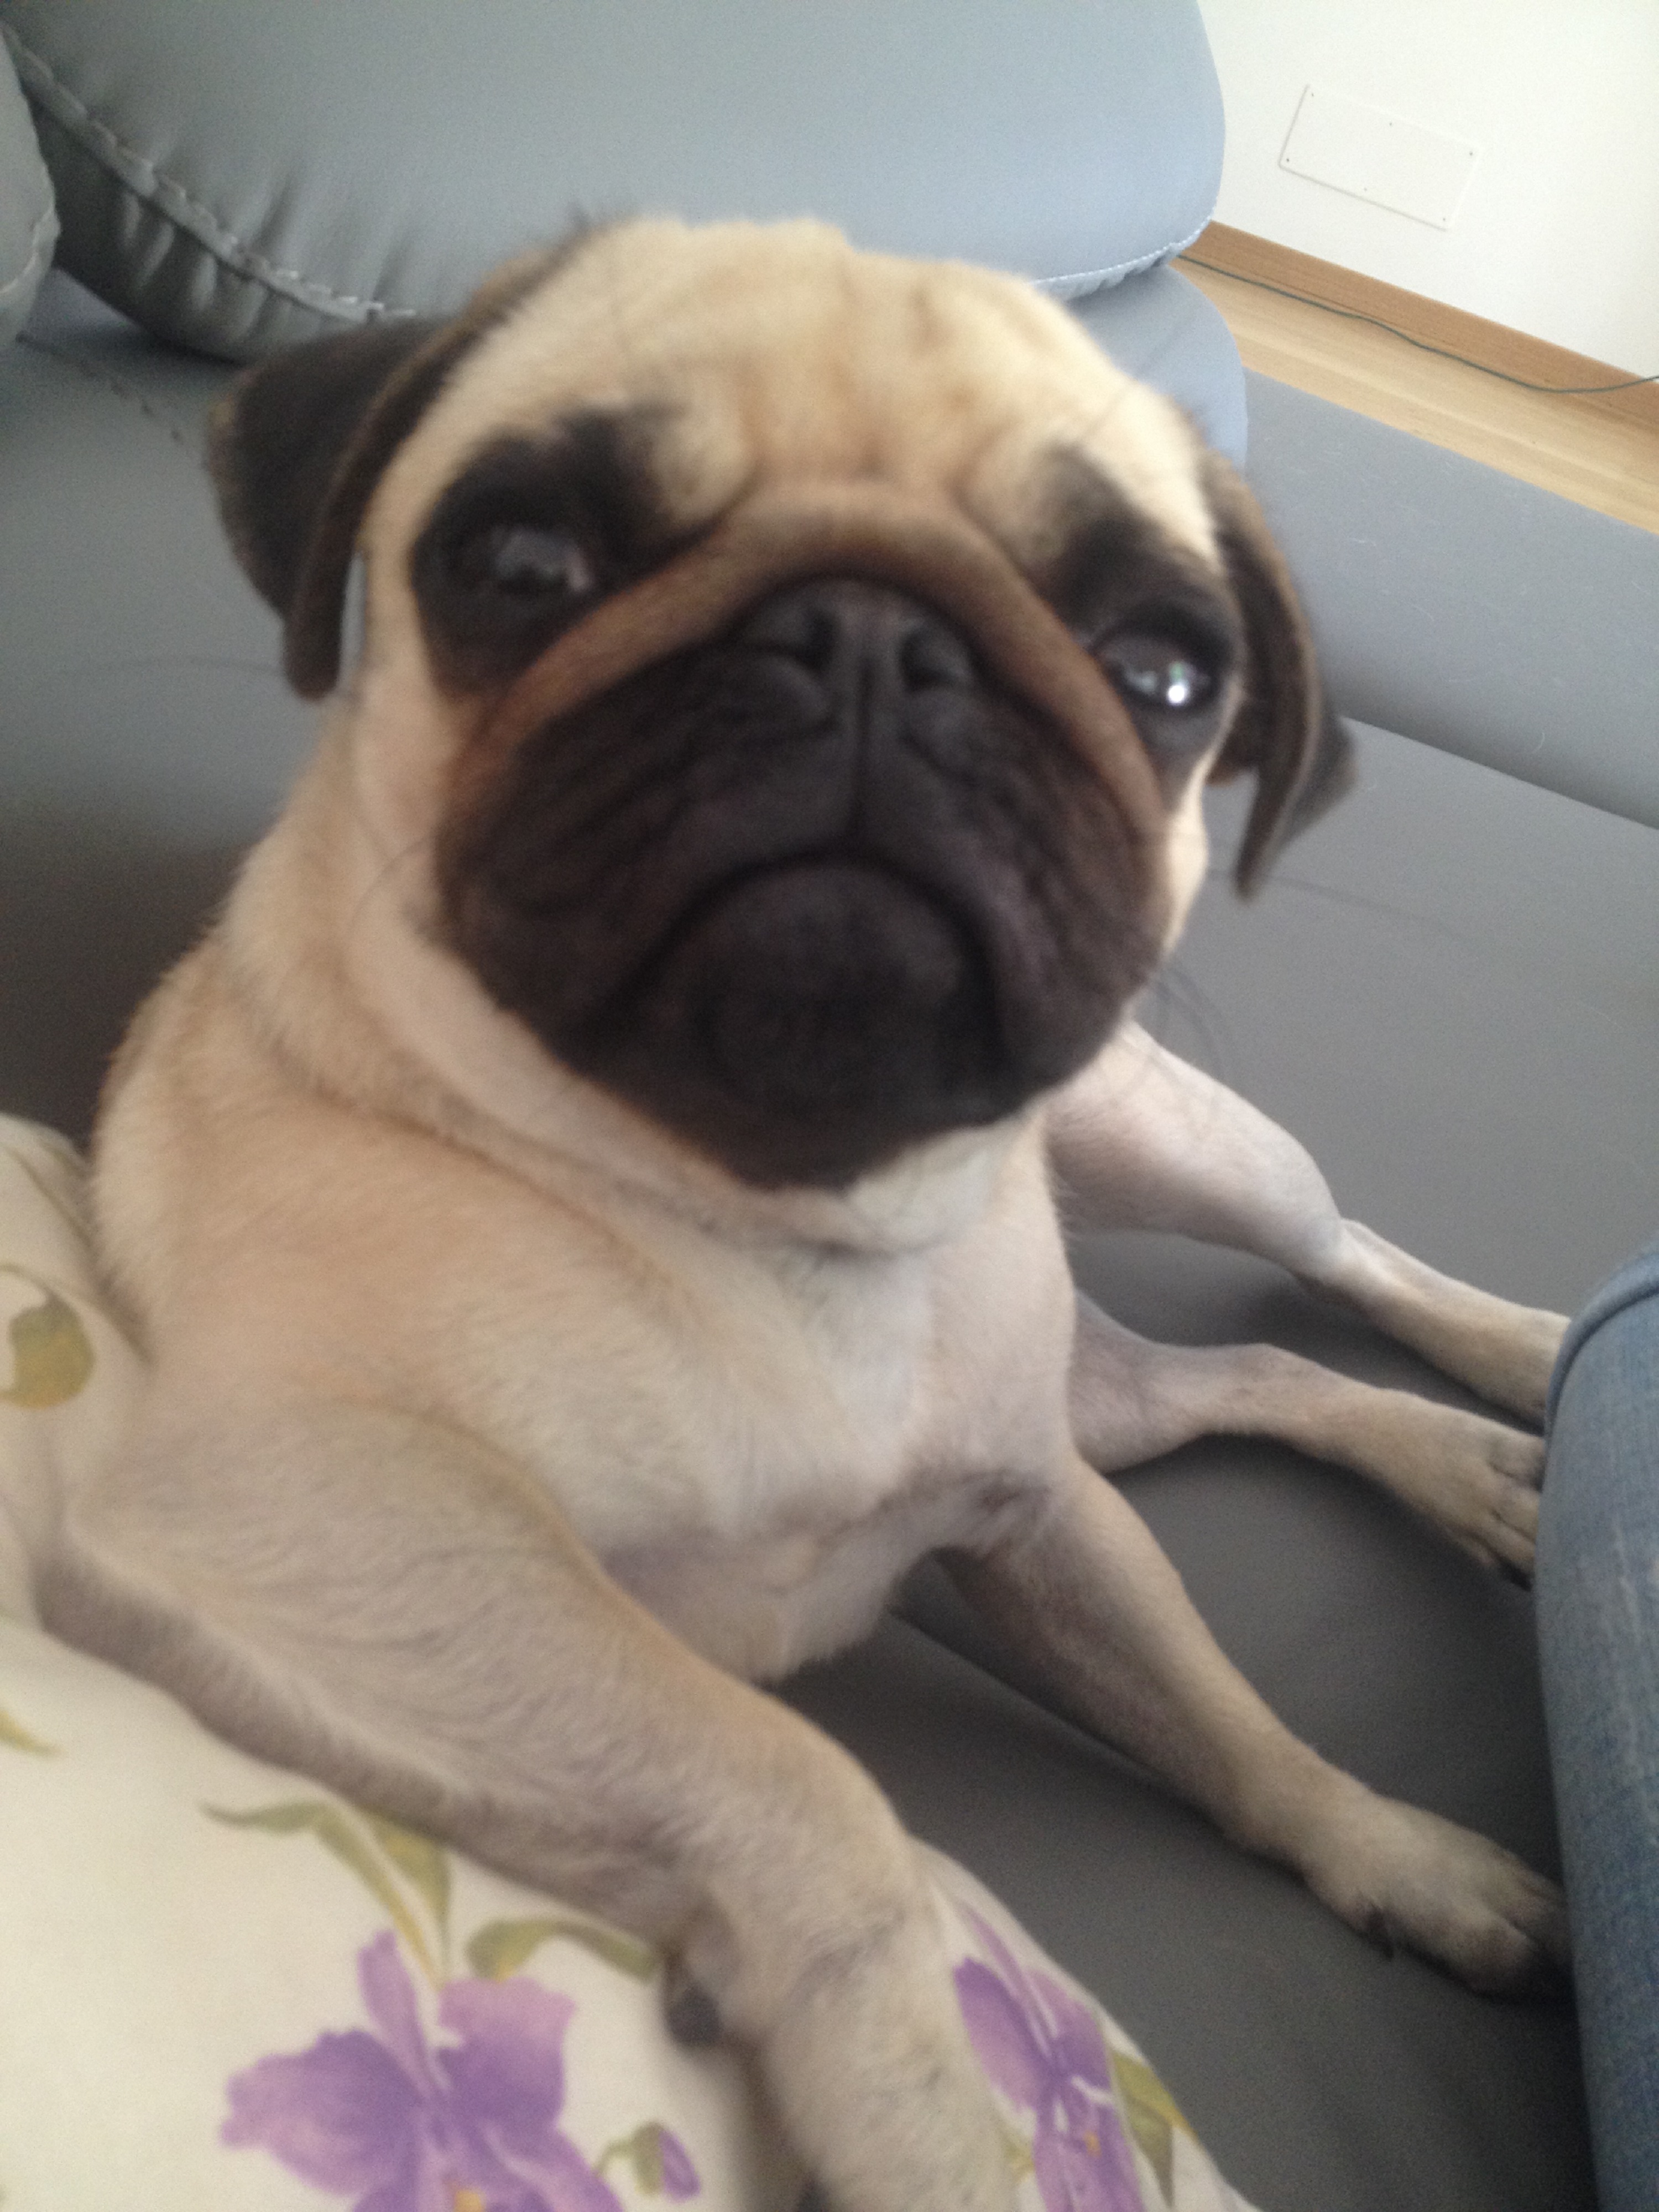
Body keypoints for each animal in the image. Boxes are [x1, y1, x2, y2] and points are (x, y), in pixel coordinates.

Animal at [41, 219, 1570, 2212]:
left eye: (1164, 671)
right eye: (520, 565)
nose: (872, 637)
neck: (772, 1221)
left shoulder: (1035, 1514)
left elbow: (1227, 1722)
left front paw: (1389, 1847)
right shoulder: (330, 1512)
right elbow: (807, 1793)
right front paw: (927, 2114)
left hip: (1179, 1165)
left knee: (1337, 1268)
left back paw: (1524, 1373)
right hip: (1097, 1400)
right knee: (1246, 1377)